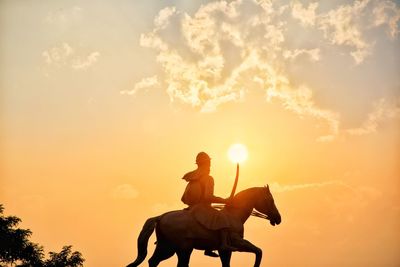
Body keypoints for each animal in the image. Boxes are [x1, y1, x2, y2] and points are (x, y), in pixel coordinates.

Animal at [127, 186, 282, 267]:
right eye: (270, 200)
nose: (278, 218)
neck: (234, 215)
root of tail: (161, 217)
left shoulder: (225, 251)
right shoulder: (237, 242)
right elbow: (258, 251)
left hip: (167, 247)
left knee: (153, 261)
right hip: (183, 248)